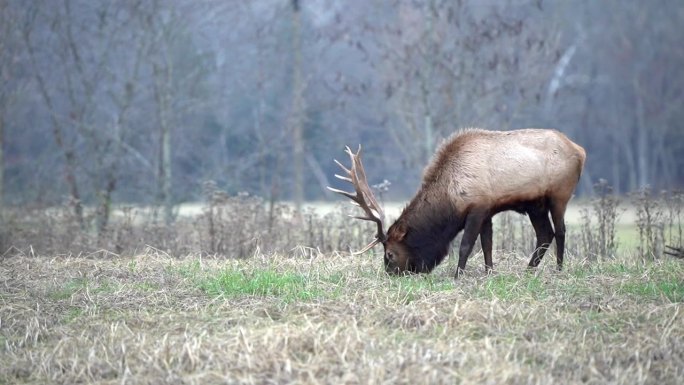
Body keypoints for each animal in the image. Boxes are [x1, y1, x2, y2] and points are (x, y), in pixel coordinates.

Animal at [328, 129, 584, 276]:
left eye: (390, 254)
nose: (391, 274)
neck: (450, 200)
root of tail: (580, 151)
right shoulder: (488, 210)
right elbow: (487, 244)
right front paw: (489, 272)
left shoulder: (477, 206)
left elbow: (466, 245)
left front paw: (458, 275)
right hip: (535, 204)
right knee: (545, 234)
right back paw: (529, 270)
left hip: (560, 193)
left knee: (560, 230)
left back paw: (559, 269)